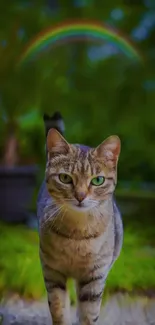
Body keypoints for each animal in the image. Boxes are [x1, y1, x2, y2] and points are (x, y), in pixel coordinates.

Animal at [37, 112, 123, 322]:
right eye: (65, 178)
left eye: (97, 180)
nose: (81, 196)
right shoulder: (52, 271)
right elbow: (58, 308)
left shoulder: (96, 275)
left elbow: (89, 314)